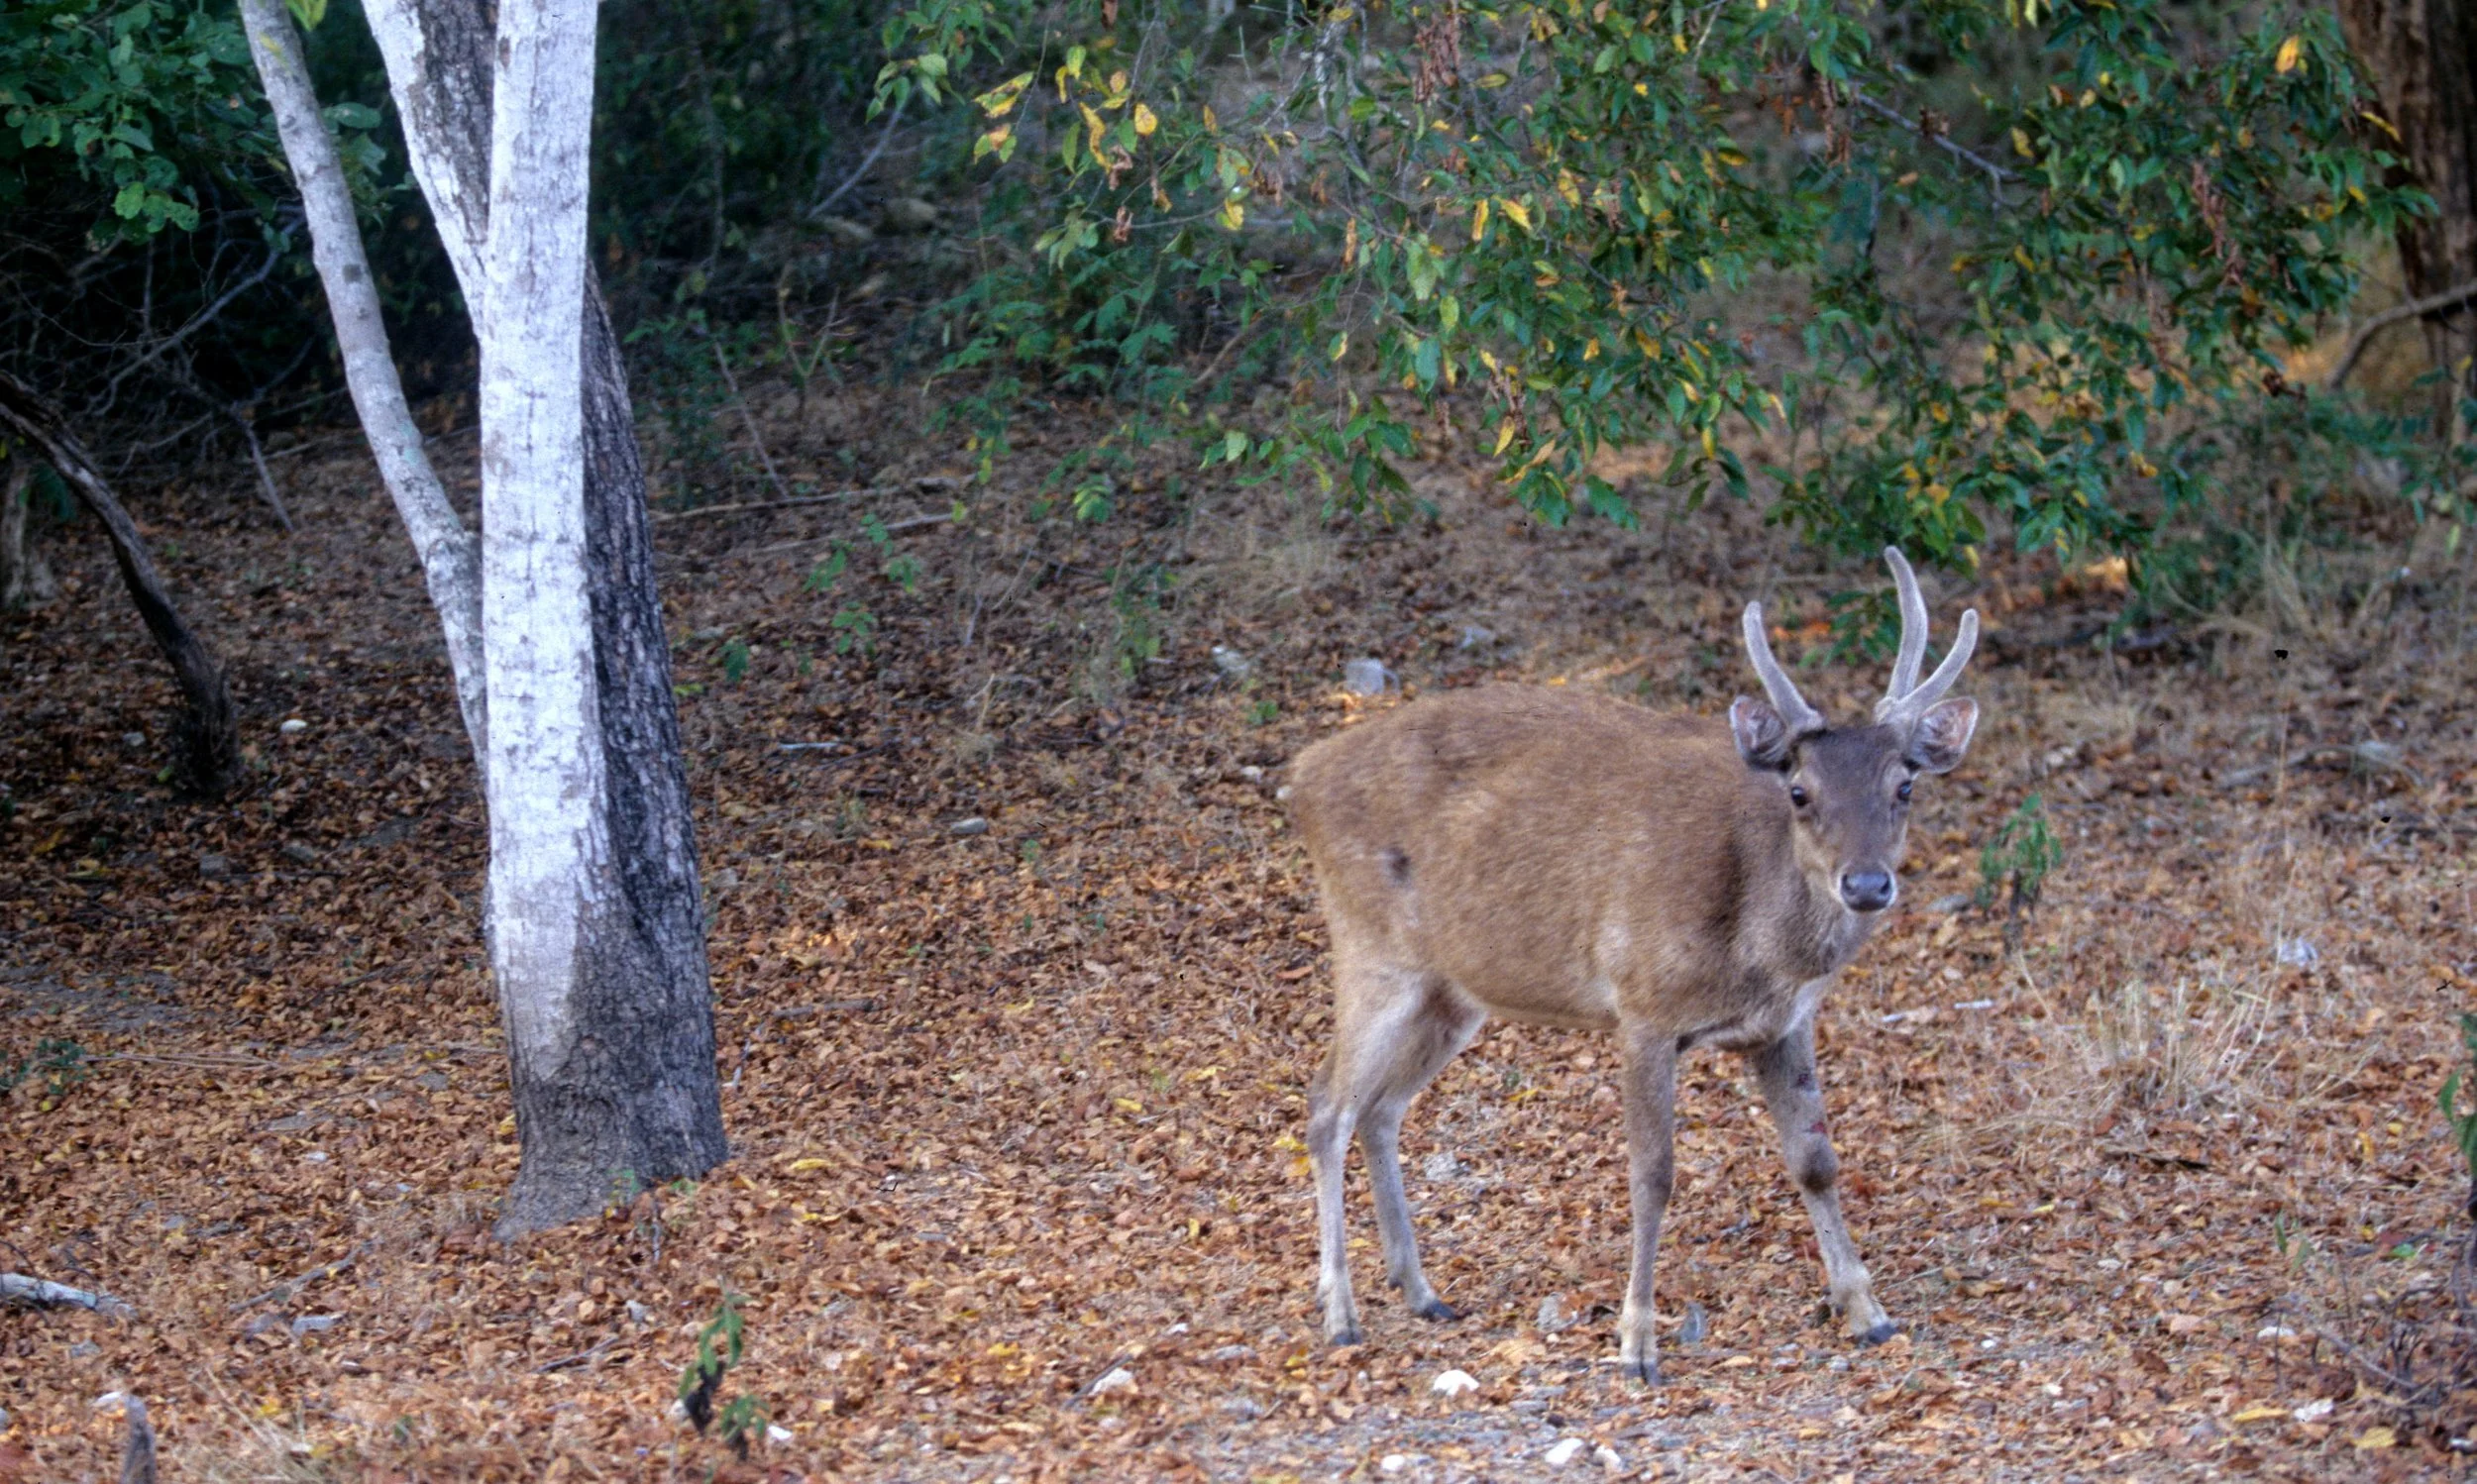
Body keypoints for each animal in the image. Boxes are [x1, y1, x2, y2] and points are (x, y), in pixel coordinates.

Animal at [1286, 547, 1980, 1383]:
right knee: (1328, 1105)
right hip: (1371, 949)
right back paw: (1341, 1315)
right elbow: (1653, 1175)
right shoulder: (1642, 1006)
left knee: (1382, 1108)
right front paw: (1636, 1342)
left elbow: (1816, 1159)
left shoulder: (1785, 1023)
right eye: (1800, 791)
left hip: (1450, 993)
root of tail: (1303, 773)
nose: (1868, 884)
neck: (1755, 947)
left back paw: (1422, 1291)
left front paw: (1868, 1313)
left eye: (1904, 785)